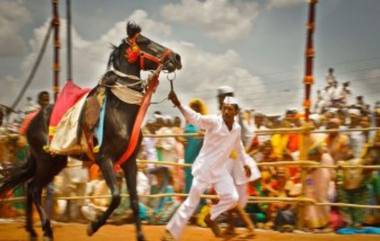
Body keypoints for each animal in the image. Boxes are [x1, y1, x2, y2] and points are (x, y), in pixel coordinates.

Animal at [0, 22, 181, 241]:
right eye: (144, 41)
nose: (176, 58)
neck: (120, 110)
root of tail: (32, 120)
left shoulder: (130, 162)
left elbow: (135, 201)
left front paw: (140, 235)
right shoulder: (105, 159)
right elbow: (116, 197)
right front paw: (93, 226)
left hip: (53, 161)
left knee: (28, 187)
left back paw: (33, 231)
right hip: (47, 161)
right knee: (34, 188)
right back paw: (47, 230)